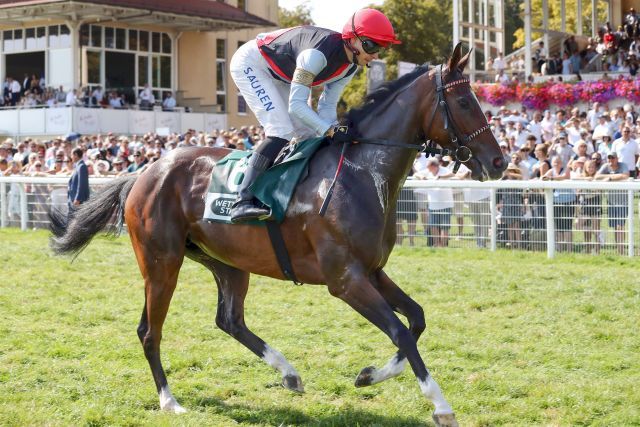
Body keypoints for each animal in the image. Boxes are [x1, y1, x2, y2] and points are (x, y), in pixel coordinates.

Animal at [48, 44, 504, 427]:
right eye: (465, 101)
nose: (498, 162)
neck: (361, 173)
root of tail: (145, 171)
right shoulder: (345, 280)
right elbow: (401, 331)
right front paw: (440, 405)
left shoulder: (372, 271)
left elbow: (416, 320)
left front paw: (369, 375)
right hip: (162, 263)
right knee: (149, 330)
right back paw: (169, 400)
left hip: (228, 262)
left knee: (229, 320)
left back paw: (289, 374)